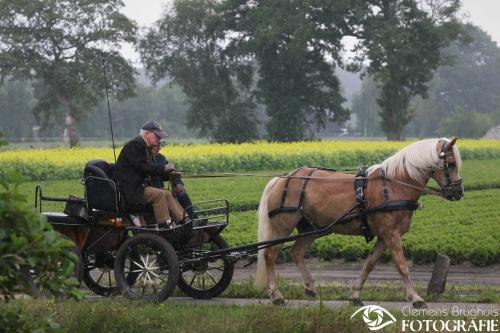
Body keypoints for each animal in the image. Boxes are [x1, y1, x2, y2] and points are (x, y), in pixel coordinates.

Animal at [256, 137, 466, 306]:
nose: (459, 192)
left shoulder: (384, 236)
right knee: (270, 255)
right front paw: (416, 298)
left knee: (296, 253)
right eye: (451, 163)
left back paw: (310, 287)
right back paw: (276, 295)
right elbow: (402, 266)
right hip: (283, 226)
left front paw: (355, 294)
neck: (393, 185)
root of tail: (282, 178)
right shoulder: (391, 235)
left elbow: (369, 264)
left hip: (311, 229)